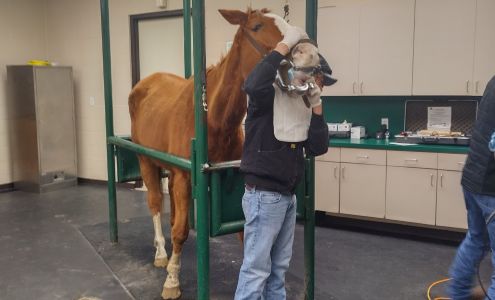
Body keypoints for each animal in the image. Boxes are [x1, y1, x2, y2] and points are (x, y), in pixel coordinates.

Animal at [128, 8, 290, 298]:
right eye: (257, 26)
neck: (214, 118)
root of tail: (144, 82)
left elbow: (243, 233)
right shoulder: (184, 177)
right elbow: (180, 230)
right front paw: (172, 281)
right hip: (146, 161)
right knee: (155, 204)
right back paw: (161, 254)